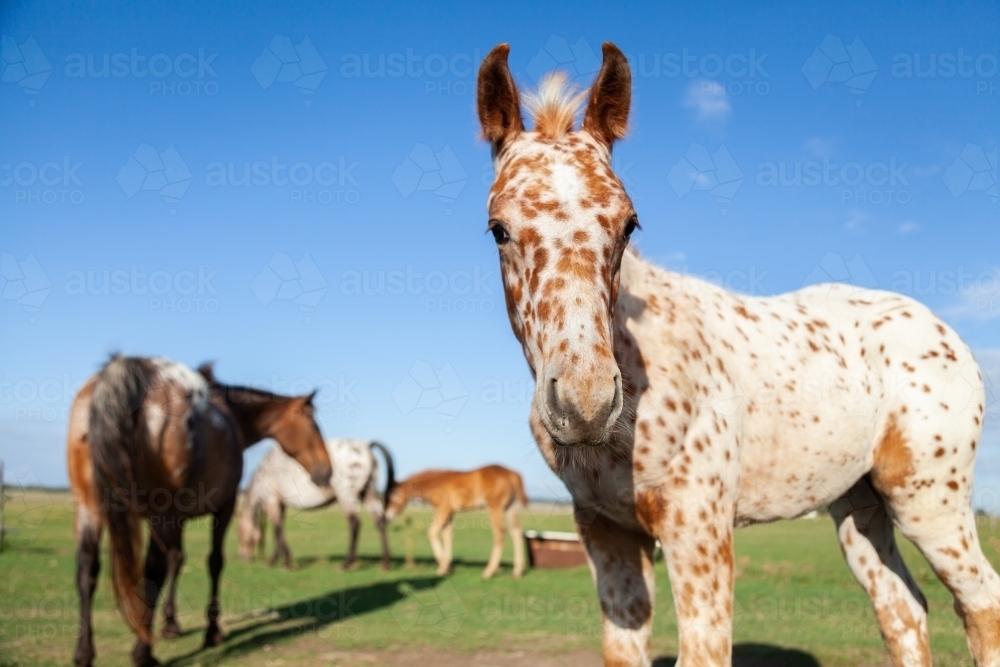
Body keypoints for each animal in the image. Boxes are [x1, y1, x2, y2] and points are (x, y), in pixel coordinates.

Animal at [67, 358, 332, 667]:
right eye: (312, 423)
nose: (326, 470)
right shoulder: (223, 506)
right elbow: (213, 562)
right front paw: (212, 632)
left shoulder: (177, 517)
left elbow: (177, 559)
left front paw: (171, 624)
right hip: (157, 514)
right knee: (152, 570)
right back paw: (143, 652)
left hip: (90, 507)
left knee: (87, 569)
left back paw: (84, 652)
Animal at [240, 438, 396, 568]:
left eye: (240, 533)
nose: (243, 557)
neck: (264, 473)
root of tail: (365, 446)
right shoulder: (280, 504)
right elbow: (279, 530)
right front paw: (283, 560)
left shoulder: (271, 501)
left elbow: (278, 530)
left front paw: (278, 561)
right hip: (368, 493)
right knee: (380, 521)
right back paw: (385, 563)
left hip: (346, 495)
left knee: (354, 523)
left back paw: (347, 563)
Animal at [384, 464, 532, 580]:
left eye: (393, 497)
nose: (388, 516)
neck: (437, 482)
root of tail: (512, 473)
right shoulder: (450, 513)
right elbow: (447, 535)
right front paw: (447, 567)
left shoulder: (443, 510)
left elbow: (432, 533)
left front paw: (443, 566)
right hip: (509, 507)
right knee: (516, 530)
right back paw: (517, 572)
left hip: (495, 507)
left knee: (500, 532)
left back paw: (489, 571)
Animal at [476, 43, 1000, 667]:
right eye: (498, 228)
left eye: (629, 224)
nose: (585, 404)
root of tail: (945, 333)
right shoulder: (608, 534)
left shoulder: (698, 532)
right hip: (859, 508)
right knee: (902, 611)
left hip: (931, 503)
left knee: (981, 602)